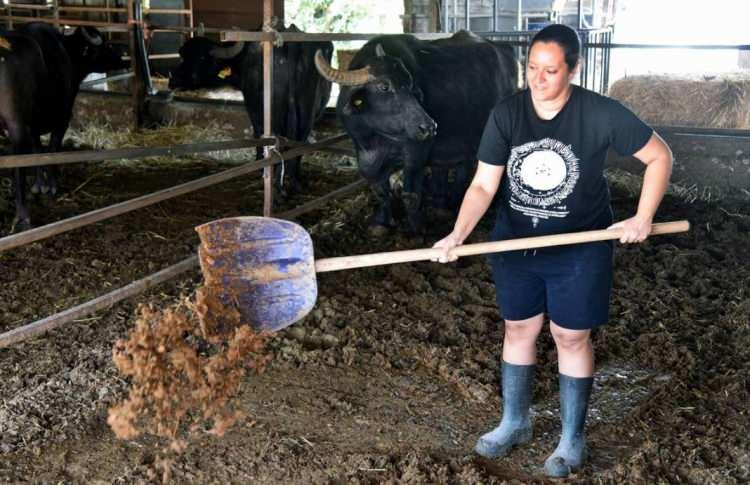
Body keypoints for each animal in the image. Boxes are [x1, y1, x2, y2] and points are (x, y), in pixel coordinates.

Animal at [0, 23, 128, 232]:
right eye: (104, 46)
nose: (121, 59)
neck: (65, 52)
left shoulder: (34, 125)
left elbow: (37, 152)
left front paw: (39, 184)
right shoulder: (62, 118)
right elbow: (52, 150)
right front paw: (51, 185)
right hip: (15, 125)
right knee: (17, 166)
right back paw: (22, 215)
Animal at [172, 25, 336, 193]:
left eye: (201, 58)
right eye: (183, 55)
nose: (172, 77)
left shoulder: (253, 109)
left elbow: (257, 134)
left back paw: (278, 185)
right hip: (307, 113)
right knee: (299, 142)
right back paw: (296, 182)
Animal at [314, 30, 520, 234]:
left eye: (410, 84)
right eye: (384, 86)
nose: (428, 127)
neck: (377, 139)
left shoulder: (416, 151)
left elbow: (410, 194)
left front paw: (416, 228)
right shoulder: (365, 156)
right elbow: (380, 190)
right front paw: (381, 222)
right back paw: (443, 204)